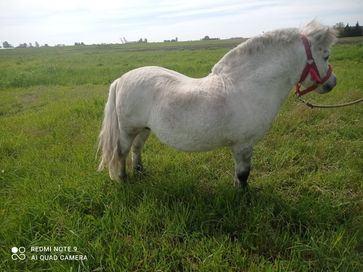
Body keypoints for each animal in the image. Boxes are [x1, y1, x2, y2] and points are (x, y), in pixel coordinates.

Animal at [97, 20, 338, 188]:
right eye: (326, 55)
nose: (332, 83)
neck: (247, 85)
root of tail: (121, 80)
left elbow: (240, 174)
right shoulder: (243, 145)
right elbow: (243, 174)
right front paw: (243, 197)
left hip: (144, 129)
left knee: (137, 150)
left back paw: (140, 173)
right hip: (127, 131)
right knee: (121, 153)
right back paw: (123, 180)